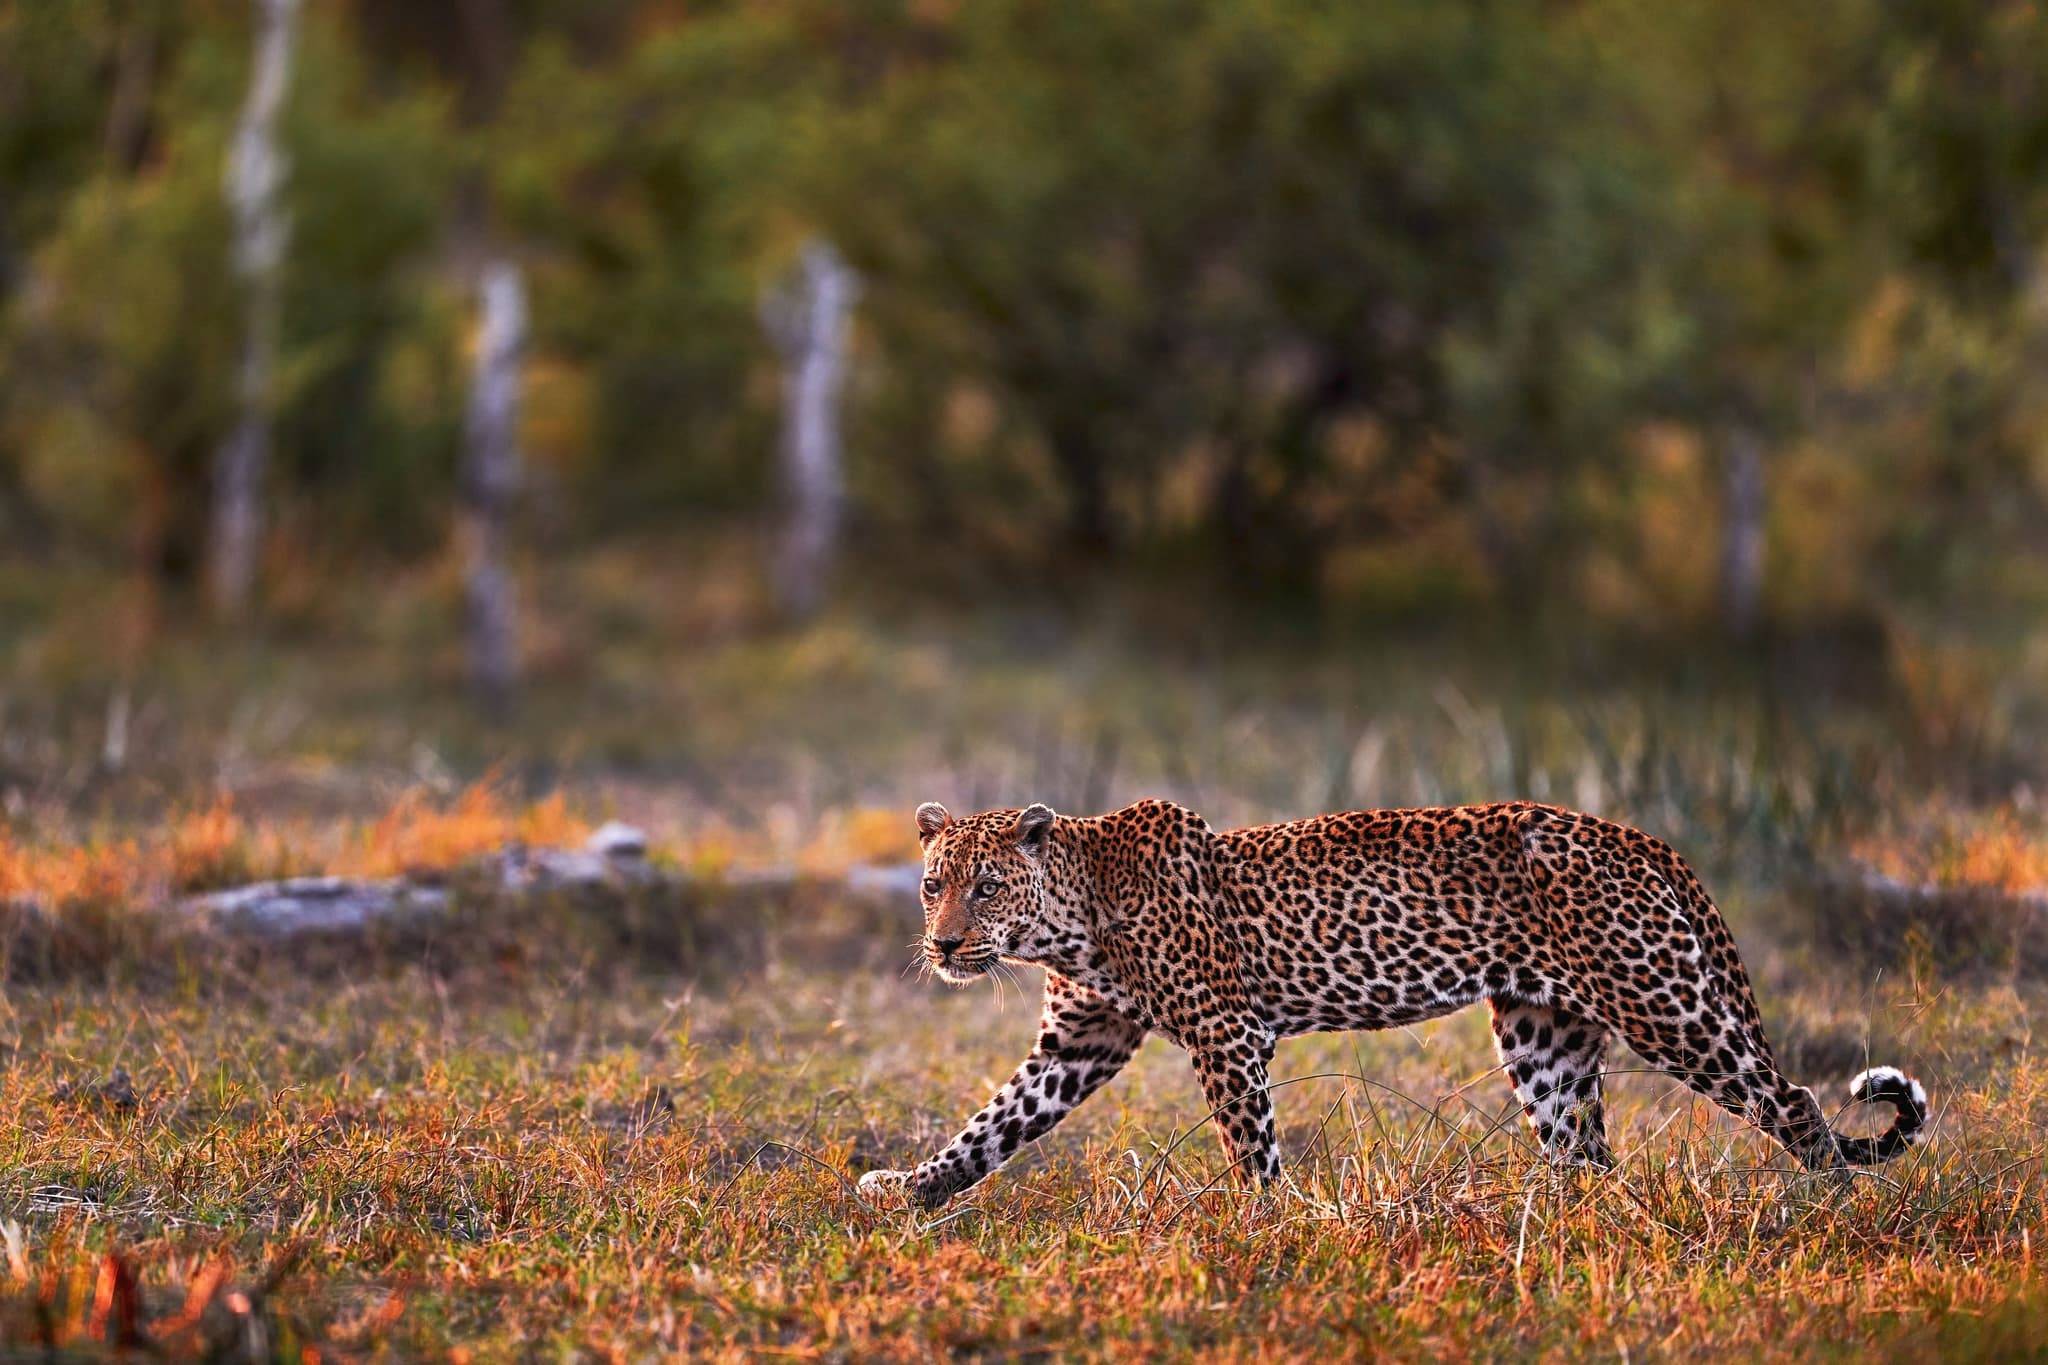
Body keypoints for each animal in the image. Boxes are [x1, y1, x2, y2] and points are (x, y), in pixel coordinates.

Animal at [856, 798, 1928, 1210]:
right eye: (932, 884)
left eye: (987, 885)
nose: (943, 943)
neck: (1072, 916)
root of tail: (1640, 836)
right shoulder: (1078, 1041)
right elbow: (988, 1128)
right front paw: (908, 1191)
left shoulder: (1224, 1031)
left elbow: (1251, 1144)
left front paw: (1269, 1226)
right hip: (1544, 1037)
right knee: (1587, 1151)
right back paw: (1563, 1224)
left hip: (1666, 1002)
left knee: (1793, 1100)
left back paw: (1831, 1206)